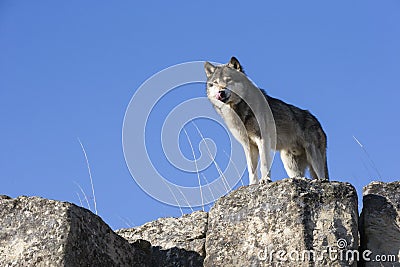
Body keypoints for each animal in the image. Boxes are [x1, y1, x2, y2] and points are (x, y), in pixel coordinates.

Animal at [203, 57, 328, 185]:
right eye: (215, 83)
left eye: (228, 80)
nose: (221, 92)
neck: (240, 112)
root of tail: (317, 122)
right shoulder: (248, 145)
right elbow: (251, 168)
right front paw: (252, 184)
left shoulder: (262, 139)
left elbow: (264, 163)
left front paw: (265, 180)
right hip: (290, 164)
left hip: (314, 158)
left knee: (322, 176)